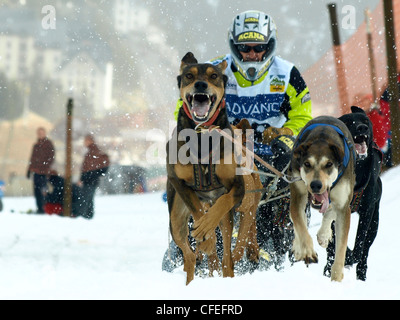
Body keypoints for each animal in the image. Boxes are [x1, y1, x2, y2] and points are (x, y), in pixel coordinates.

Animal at [166, 53, 262, 284]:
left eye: (214, 76)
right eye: (189, 75)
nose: (201, 84)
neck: (202, 135)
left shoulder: (237, 190)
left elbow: (223, 203)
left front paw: (207, 232)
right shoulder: (179, 183)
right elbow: (198, 212)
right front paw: (206, 239)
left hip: (227, 220)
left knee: (227, 256)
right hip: (176, 220)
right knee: (190, 255)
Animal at [288, 116, 356, 282]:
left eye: (329, 164)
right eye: (307, 164)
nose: (316, 185)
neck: (322, 138)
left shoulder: (344, 207)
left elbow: (340, 251)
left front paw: (336, 280)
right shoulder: (297, 197)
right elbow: (300, 227)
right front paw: (307, 250)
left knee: (330, 211)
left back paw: (324, 235)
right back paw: (299, 248)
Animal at [324, 106, 382, 282]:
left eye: (366, 121)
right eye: (349, 122)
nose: (362, 128)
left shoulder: (367, 210)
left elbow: (360, 241)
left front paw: (350, 256)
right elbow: (333, 239)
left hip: (375, 223)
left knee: (365, 250)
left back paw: (361, 273)